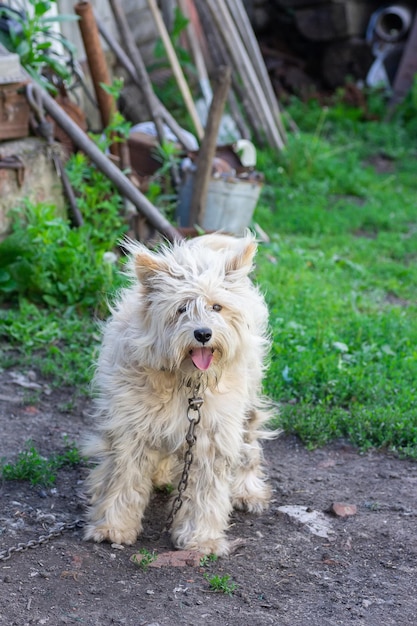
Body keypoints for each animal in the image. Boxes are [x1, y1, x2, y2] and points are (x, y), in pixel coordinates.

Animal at [84, 232, 272, 552]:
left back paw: (247, 491)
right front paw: (114, 526)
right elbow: (123, 479)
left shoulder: (211, 436)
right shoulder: (130, 430)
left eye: (216, 307)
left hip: (247, 403)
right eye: (181, 308)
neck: (186, 379)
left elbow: (205, 493)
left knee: (249, 447)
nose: (203, 333)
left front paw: (201, 538)